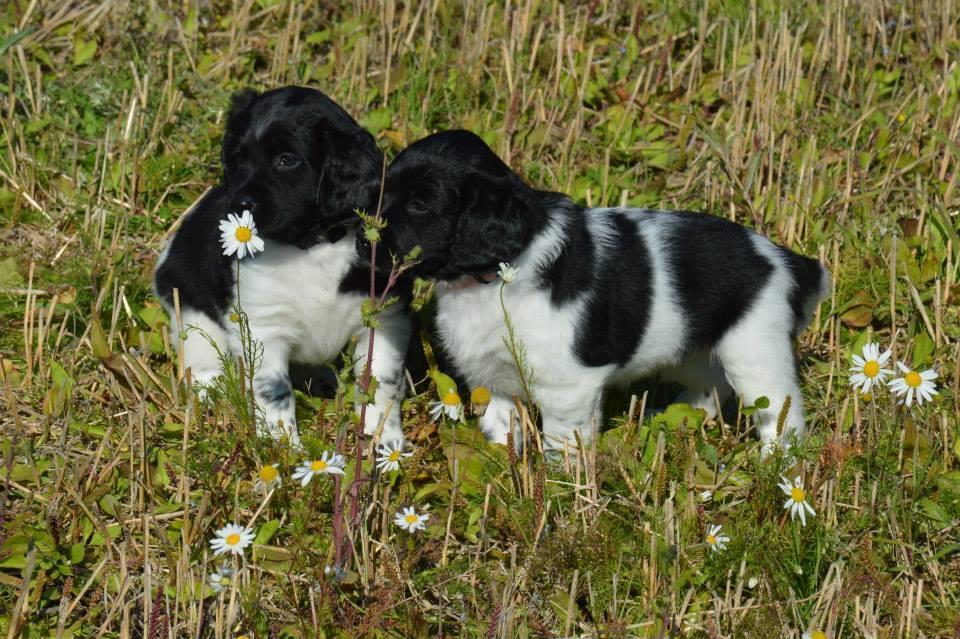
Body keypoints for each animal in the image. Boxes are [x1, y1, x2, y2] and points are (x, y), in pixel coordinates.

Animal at [156, 85, 410, 448]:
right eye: (238, 158)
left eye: (287, 160)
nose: (236, 204)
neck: (310, 246)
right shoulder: (263, 327)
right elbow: (274, 391)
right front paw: (283, 449)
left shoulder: (384, 317)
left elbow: (378, 381)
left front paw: (383, 440)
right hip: (190, 309)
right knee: (201, 354)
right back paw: (209, 395)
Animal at [378, 129, 828, 450]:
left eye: (419, 204)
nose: (364, 229)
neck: (494, 277)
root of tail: (787, 259)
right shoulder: (494, 376)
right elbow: (502, 425)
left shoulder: (568, 387)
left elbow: (562, 443)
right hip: (695, 347)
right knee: (710, 387)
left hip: (755, 351)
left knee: (781, 413)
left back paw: (776, 467)